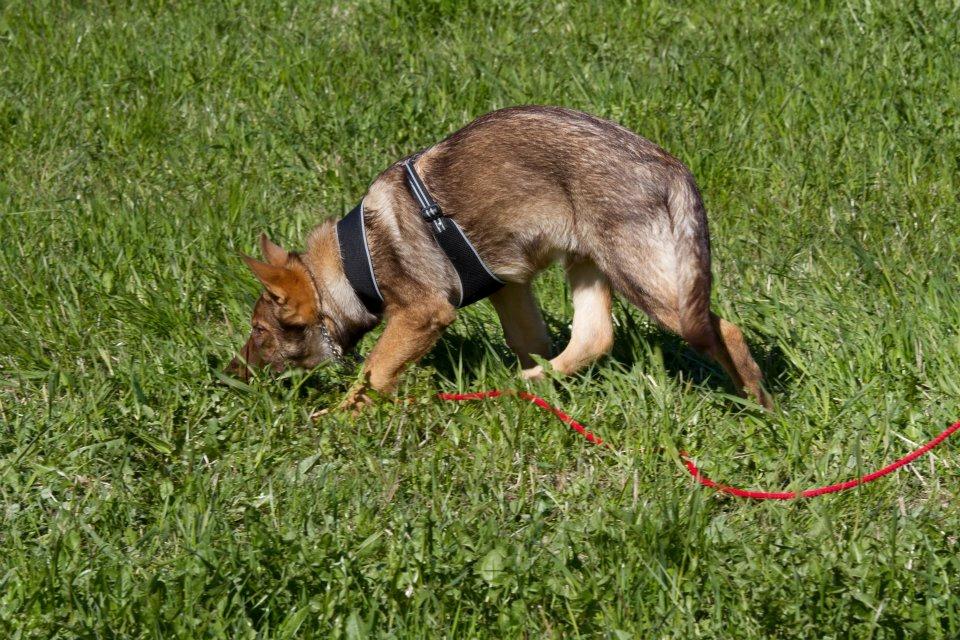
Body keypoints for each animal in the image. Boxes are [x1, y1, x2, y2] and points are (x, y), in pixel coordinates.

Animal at [231, 105, 772, 410]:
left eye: (259, 331)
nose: (231, 375)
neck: (354, 261)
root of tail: (673, 168)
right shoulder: (509, 288)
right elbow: (530, 339)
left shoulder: (424, 313)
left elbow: (376, 371)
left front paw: (336, 420)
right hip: (588, 264)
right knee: (594, 337)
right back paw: (528, 383)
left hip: (645, 280)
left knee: (726, 331)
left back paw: (761, 405)